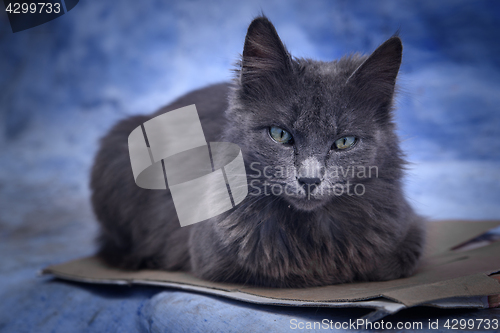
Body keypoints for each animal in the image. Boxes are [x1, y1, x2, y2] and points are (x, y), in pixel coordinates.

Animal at [91, 15, 426, 286]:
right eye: (280, 135)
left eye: (344, 142)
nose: (309, 180)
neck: (311, 231)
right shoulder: (214, 257)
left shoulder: (408, 236)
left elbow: (381, 267)